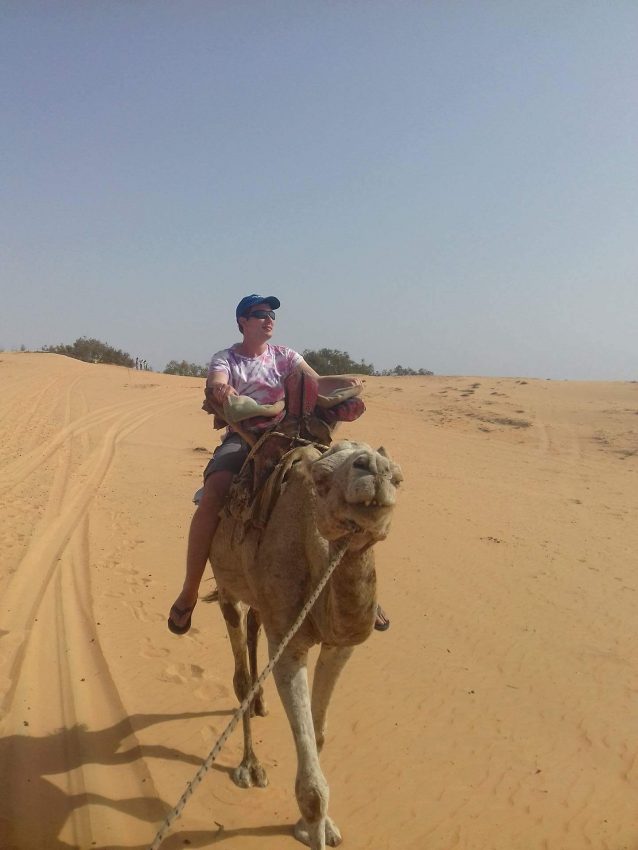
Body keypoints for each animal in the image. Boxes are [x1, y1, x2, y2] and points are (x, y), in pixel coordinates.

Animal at [210, 438, 402, 848]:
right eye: (322, 480)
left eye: (398, 478)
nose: (375, 470)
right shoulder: (289, 645)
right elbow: (313, 788)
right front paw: (313, 827)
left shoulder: (340, 645)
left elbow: (319, 733)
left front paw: (321, 827)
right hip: (227, 586)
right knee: (240, 672)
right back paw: (250, 767)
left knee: (255, 626)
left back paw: (260, 704)